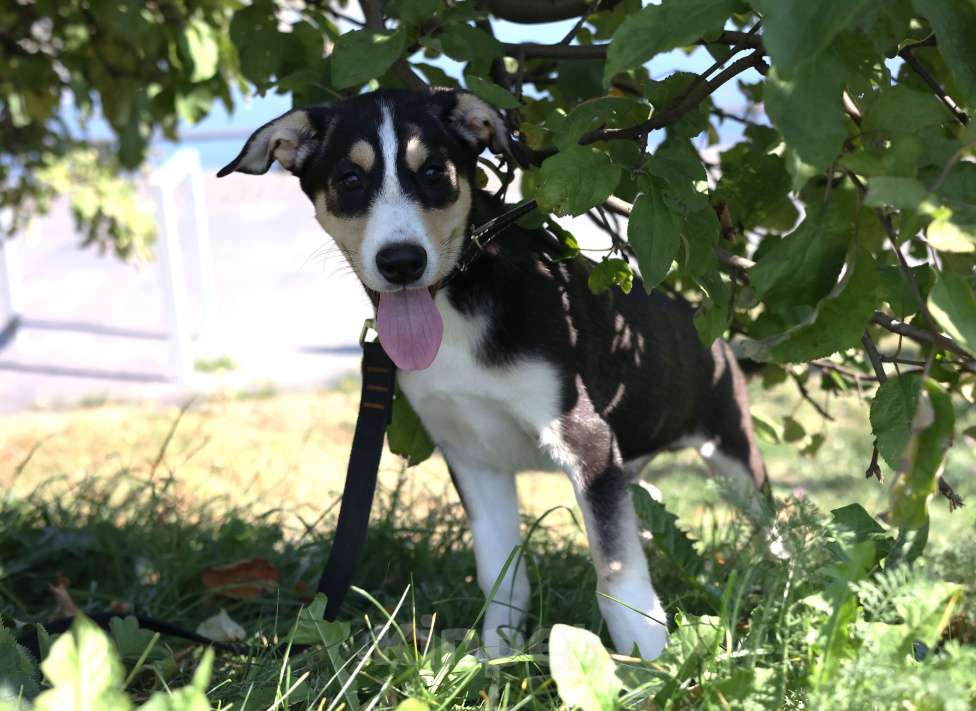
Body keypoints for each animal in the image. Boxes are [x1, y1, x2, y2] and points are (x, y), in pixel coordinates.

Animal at [219, 89, 772, 660]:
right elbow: (501, 573)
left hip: (732, 450)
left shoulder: (586, 439)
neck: (454, 307)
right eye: (350, 180)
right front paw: (498, 655)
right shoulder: (471, 456)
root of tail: (713, 333)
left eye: (435, 171)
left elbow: (615, 572)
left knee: (769, 525)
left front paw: (648, 657)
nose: (402, 262)